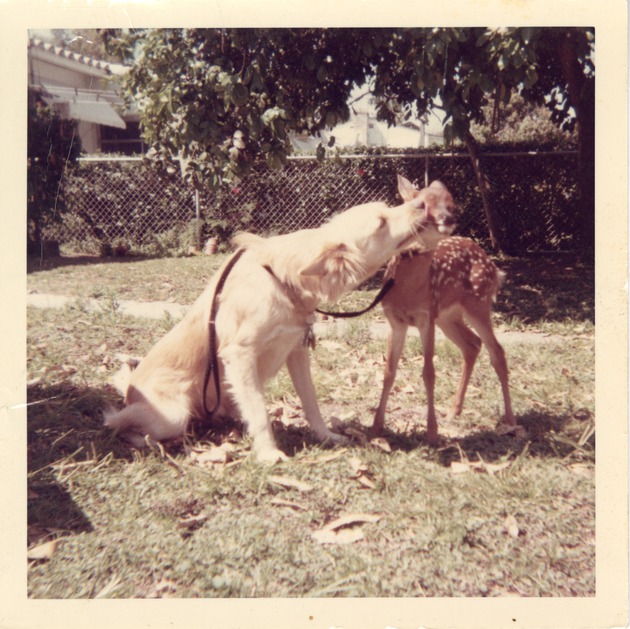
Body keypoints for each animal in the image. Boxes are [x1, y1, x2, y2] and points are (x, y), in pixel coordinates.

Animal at [106, 177, 456, 462]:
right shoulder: (239, 354)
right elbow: (260, 411)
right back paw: (150, 441)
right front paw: (269, 453)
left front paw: (326, 436)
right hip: (173, 414)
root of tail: (130, 391)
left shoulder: (297, 350)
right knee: (119, 424)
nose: (422, 204)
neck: (283, 281)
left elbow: (311, 402)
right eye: (382, 221)